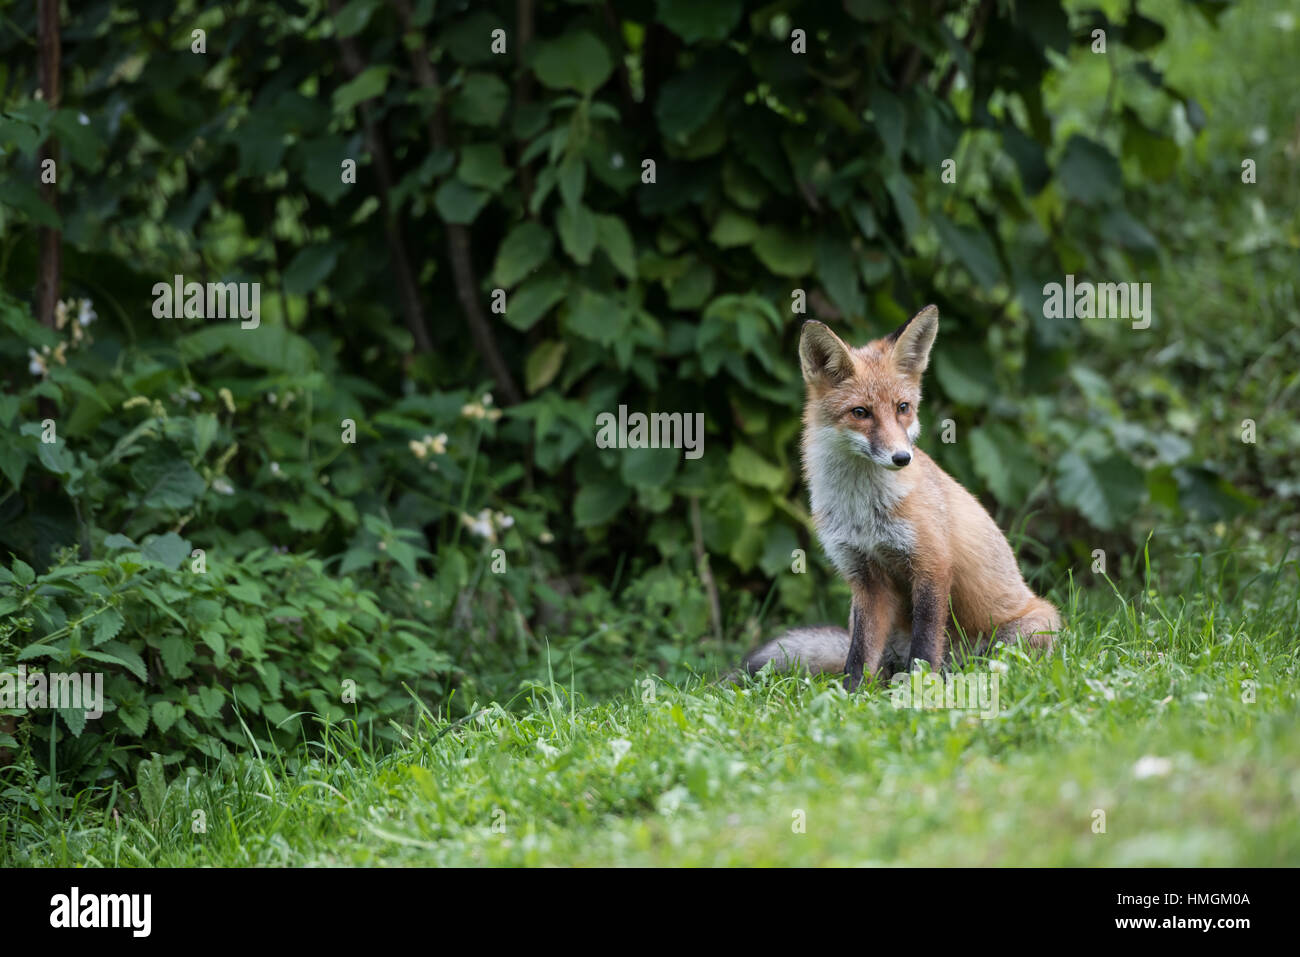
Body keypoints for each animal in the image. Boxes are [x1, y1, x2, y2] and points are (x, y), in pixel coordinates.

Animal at [743, 306, 1055, 686]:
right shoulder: (865, 578)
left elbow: (925, 643)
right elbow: (859, 655)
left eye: (902, 407)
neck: (863, 510)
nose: (902, 457)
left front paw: (922, 686)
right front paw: (850, 694)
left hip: (1020, 634)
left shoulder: (932, 564)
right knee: (877, 663)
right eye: (860, 413)